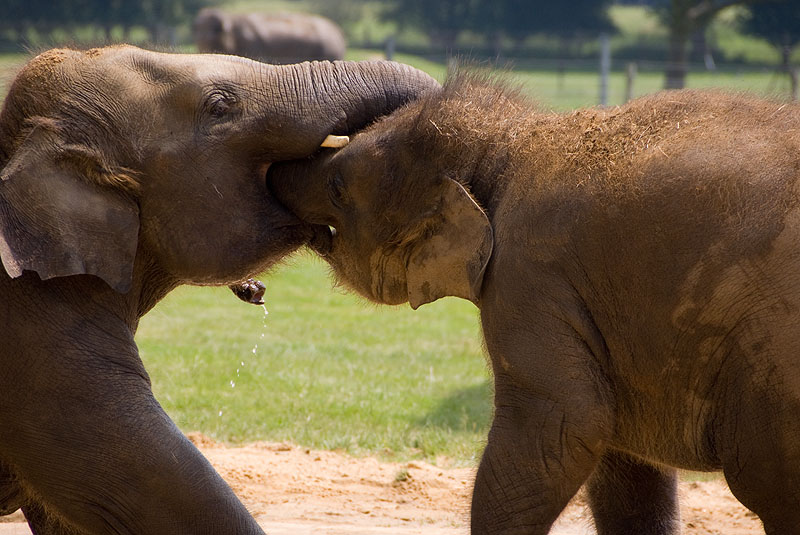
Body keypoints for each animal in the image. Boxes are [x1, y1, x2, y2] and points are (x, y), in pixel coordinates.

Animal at [195, 8, 346, 65]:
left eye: (212, 39)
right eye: (198, 39)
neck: (231, 17)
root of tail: (338, 32)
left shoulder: (252, 45)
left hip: (329, 50)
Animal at [268, 76, 800, 535]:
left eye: (337, 186)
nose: (270, 171)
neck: (513, 140)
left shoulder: (529, 276)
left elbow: (561, 427)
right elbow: (623, 463)